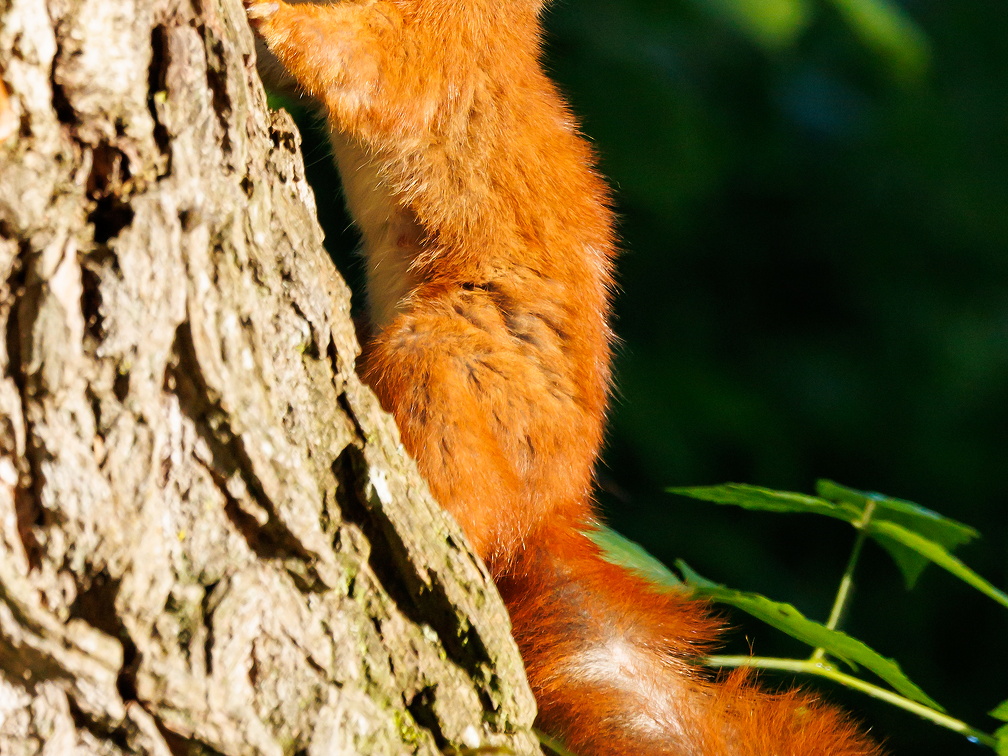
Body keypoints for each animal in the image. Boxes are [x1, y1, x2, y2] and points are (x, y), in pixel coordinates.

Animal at [243, 2, 883, 753]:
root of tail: (552, 508)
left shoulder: (438, 54)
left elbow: (361, 66)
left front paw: (274, 17)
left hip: (446, 366)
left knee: (465, 513)